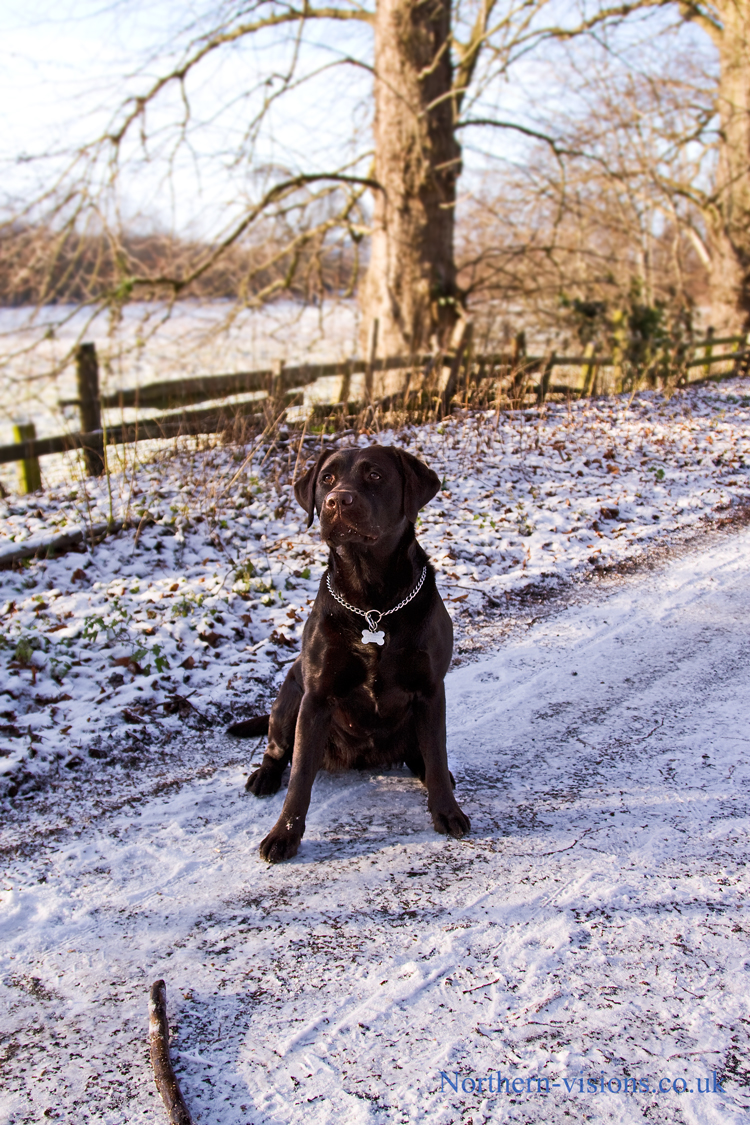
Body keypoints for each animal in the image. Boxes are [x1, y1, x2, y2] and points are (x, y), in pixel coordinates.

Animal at [235, 443, 470, 864]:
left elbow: (438, 753)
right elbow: (299, 779)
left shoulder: (431, 691)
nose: (336, 500)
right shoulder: (315, 698)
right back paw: (264, 775)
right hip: (288, 698)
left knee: (424, 755)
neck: (372, 603)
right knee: (277, 749)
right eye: (327, 479)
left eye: (375, 475)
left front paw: (447, 810)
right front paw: (284, 835)